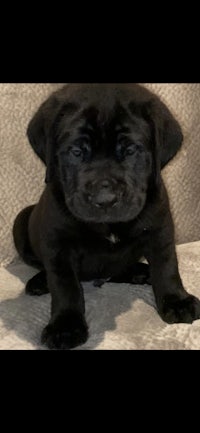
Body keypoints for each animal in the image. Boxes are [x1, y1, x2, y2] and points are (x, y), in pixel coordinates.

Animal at [12, 83, 200, 348]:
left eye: (131, 150)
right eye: (76, 151)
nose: (105, 200)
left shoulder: (160, 228)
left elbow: (167, 267)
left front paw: (176, 301)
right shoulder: (58, 242)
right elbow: (64, 285)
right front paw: (65, 326)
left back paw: (139, 272)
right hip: (21, 221)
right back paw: (40, 282)